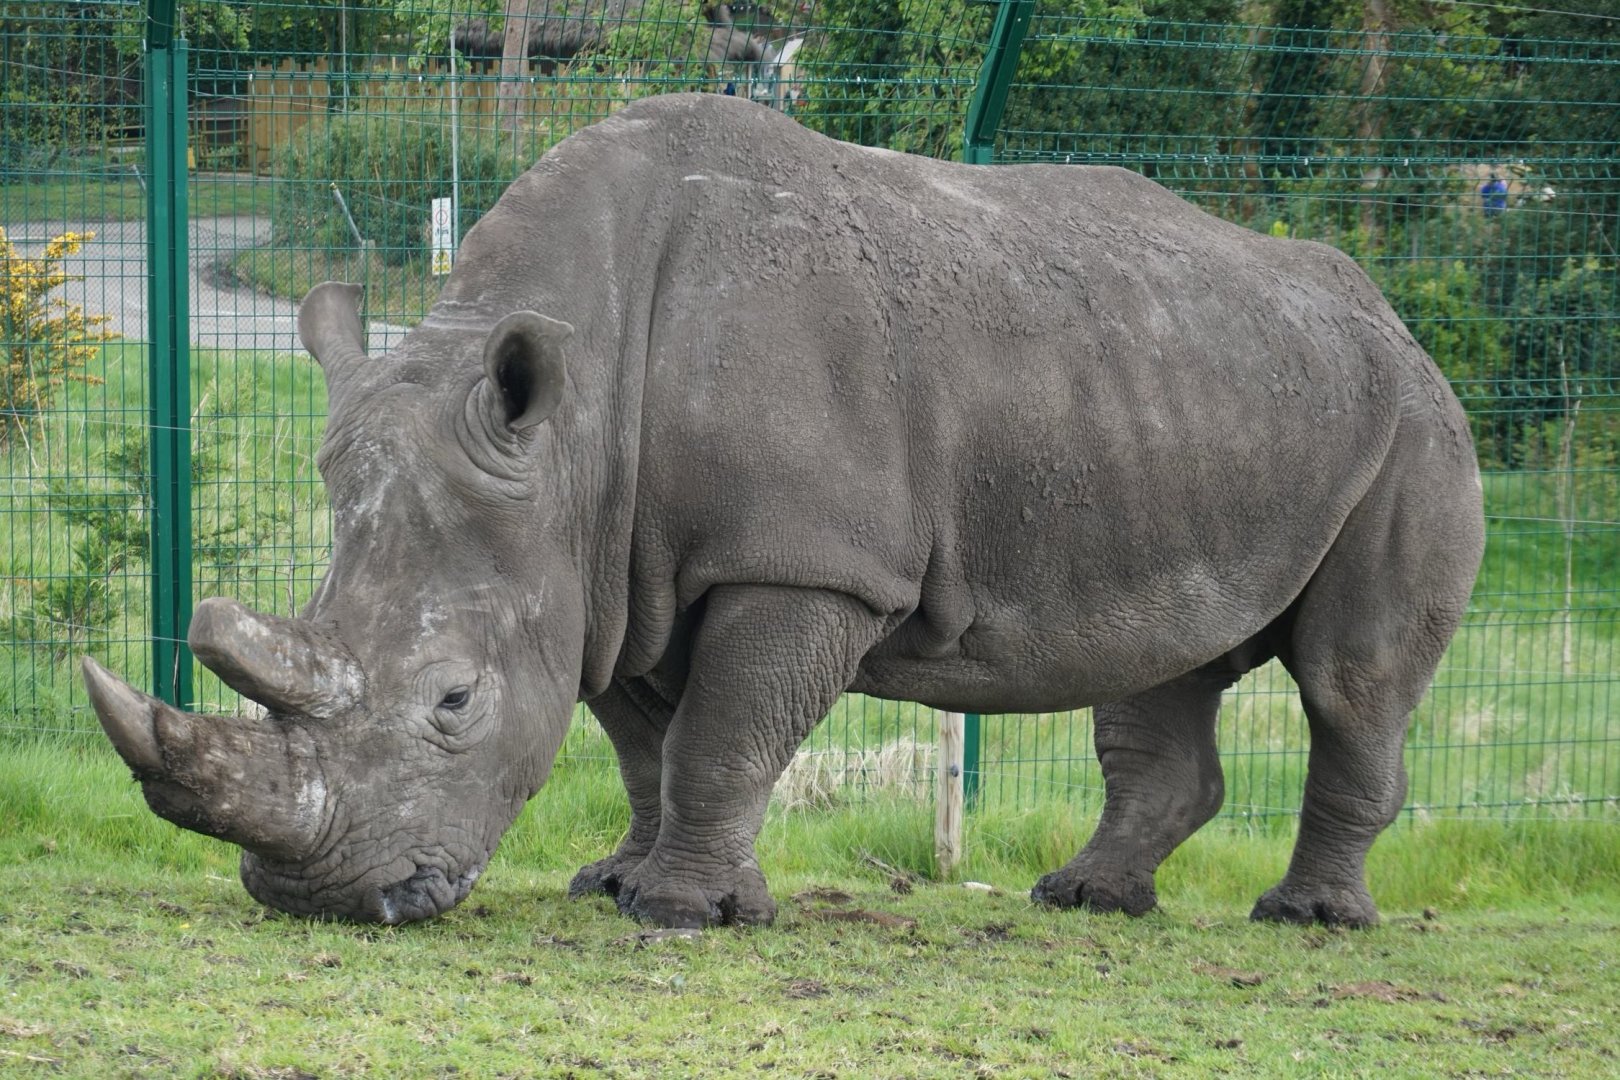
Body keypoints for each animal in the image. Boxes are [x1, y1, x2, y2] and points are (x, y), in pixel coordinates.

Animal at [82, 92, 1484, 929]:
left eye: (454, 703)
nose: (312, 898)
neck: (578, 426)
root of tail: (1394, 319)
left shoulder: (806, 560)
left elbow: (722, 734)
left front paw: (685, 915)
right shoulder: (608, 571)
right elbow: (643, 743)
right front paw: (619, 882)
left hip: (1413, 426)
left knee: (1350, 682)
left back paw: (1306, 921)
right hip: (1196, 400)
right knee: (1166, 667)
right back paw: (1084, 900)